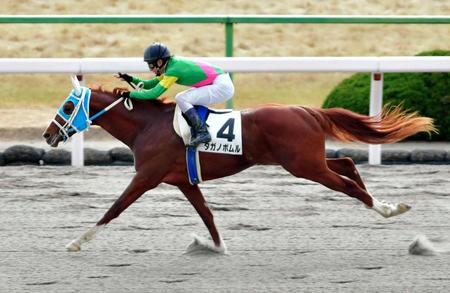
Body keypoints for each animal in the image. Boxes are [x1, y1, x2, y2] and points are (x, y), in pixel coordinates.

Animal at [43, 77, 436, 251]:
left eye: (67, 106)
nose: (48, 135)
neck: (147, 126)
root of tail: (307, 110)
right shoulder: (183, 180)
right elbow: (206, 214)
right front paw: (216, 246)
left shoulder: (146, 177)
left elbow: (114, 208)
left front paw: (77, 241)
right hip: (307, 160)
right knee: (348, 164)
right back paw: (385, 204)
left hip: (303, 165)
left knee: (349, 184)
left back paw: (387, 209)